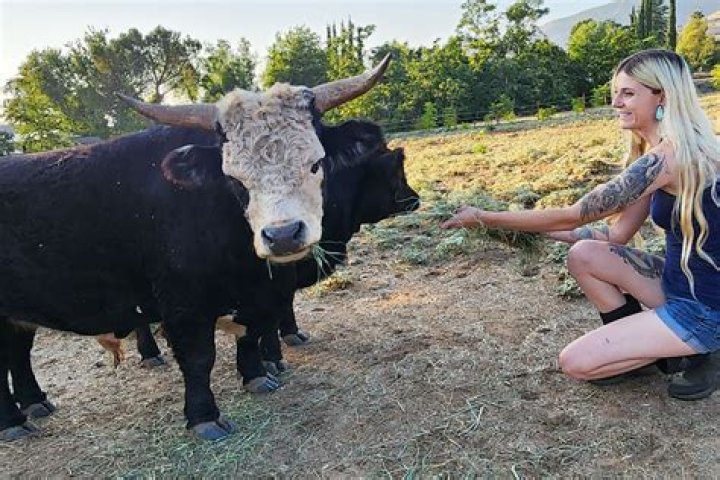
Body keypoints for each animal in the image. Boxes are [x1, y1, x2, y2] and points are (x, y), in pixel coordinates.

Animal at [0, 56, 390, 442]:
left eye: (315, 164)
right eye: (235, 178)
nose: (282, 235)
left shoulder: (257, 295)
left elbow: (251, 335)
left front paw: (257, 377)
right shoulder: (183, 305)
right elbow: (199, 357)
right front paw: (205, 417)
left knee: (16, 354)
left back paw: (34, 404)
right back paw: (12, 423)